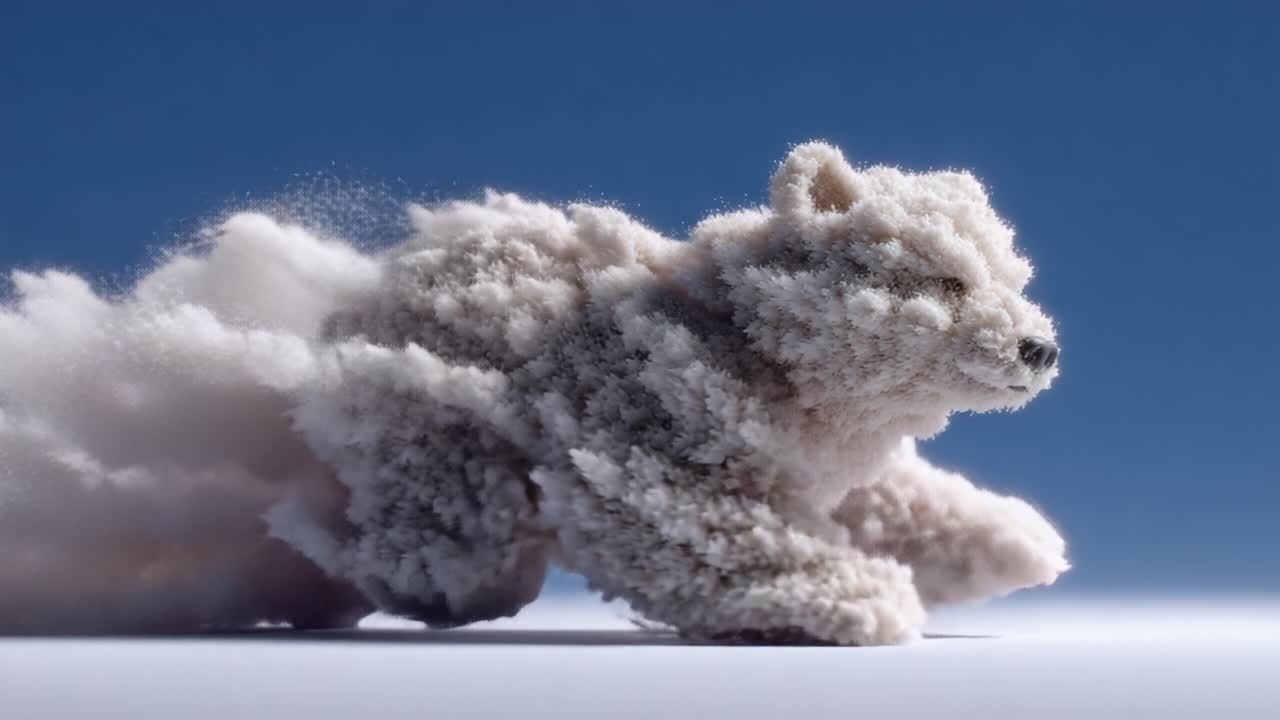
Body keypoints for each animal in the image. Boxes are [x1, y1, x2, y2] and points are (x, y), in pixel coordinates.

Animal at [269, 141, 1069, 645]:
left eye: (1011, 278)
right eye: (949, 280)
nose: (1042, 347)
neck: (749, 342)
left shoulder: (811, 452)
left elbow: (891, 499)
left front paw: (1016, 540)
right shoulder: (638, 450)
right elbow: (694, 529)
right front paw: (858, 598)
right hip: (443, 456)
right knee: (432, 551)